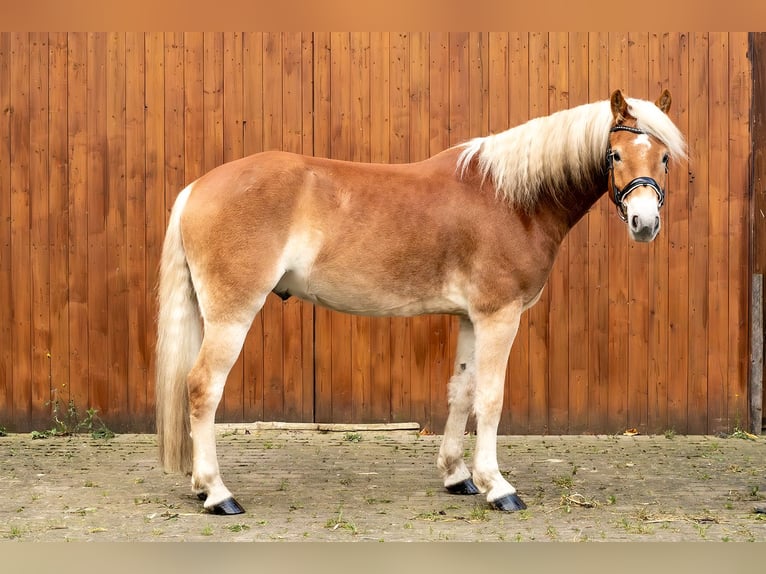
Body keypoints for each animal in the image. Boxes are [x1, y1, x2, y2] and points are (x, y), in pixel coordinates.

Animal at [156, 89, 688, 516]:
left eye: (664, 158)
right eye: (614, 154)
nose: (644, 223)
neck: (510, 199)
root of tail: (196, 188)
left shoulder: (472, 318)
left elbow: (462, 392)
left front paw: (458, 476)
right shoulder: (499, 316)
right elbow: (491, 398)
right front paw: (499, 488)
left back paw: (200, 486)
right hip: (232, 315)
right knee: (202, 389)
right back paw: (219, 494)